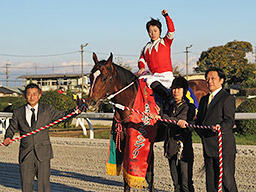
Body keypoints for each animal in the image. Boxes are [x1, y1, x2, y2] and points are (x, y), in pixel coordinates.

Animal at [86, 52, 208, 192]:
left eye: (105, 78)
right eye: (90, 76)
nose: (90, 103)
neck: (132, 102)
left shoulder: (146, 141)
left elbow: (149, 175)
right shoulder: (125, 140)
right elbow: (127, 177)